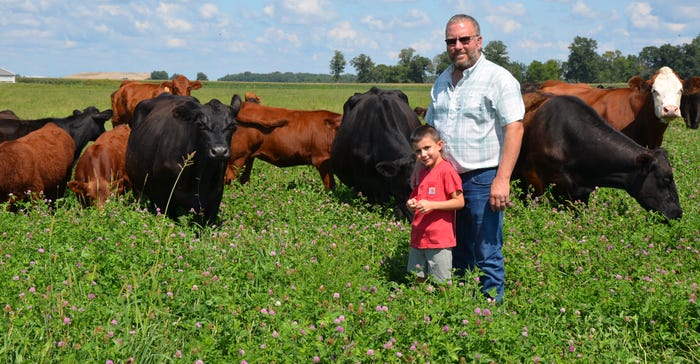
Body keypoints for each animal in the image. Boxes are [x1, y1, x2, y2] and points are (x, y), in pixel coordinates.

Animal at [127, 93, 242, 225]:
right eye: (200, 125)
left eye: (233, 125)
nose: (219, 151)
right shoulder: (163, 199)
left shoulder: (215, 199)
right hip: (137, 187)